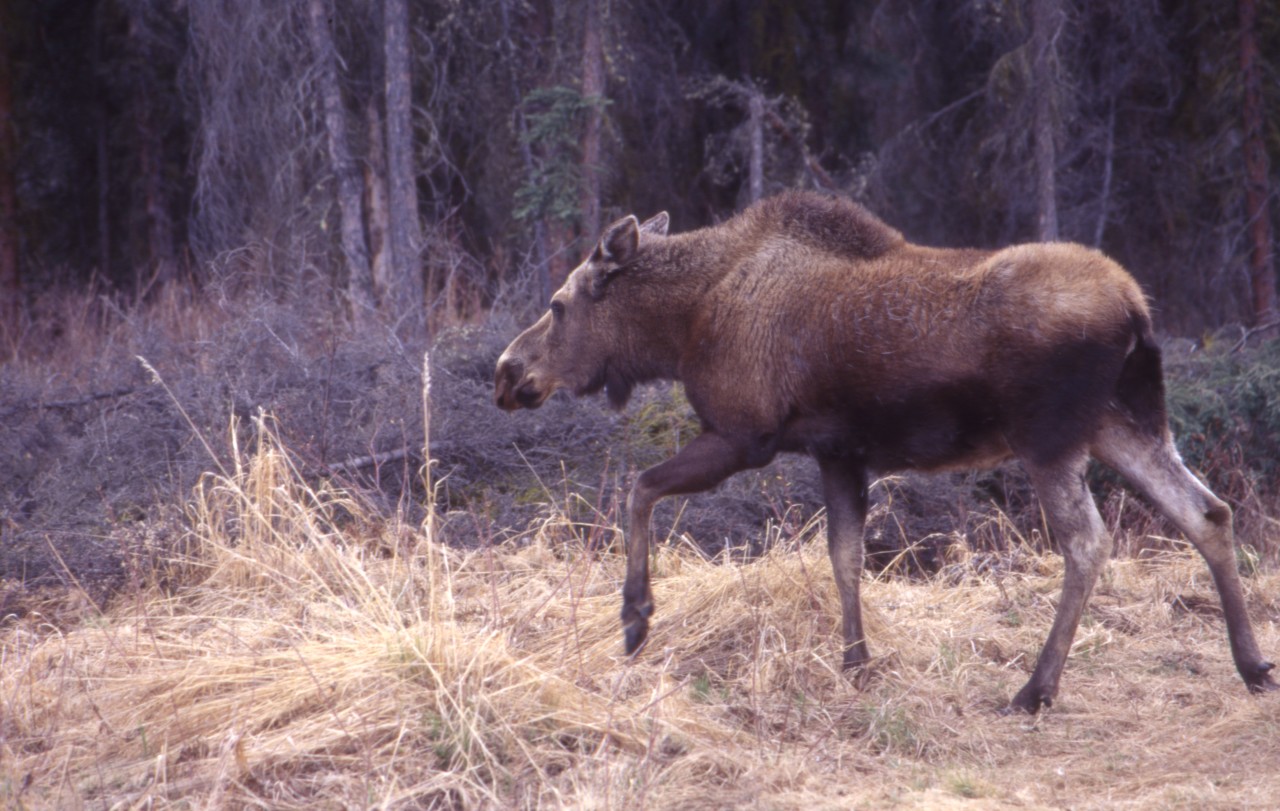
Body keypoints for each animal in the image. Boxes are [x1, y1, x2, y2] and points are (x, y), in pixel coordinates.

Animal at [494, 193, 1274, 711]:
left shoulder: (746, 436)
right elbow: (844, 558)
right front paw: (856, 662)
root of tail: (1137, 310)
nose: (507, 371)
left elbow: (640, 486)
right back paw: (1252, 663)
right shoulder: (838, 451)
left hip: (1050, 437)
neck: (683, 323)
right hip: (1123, 423)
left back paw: (1036, 686)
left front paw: (635, 617)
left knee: (1088, 542)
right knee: (1206, 511)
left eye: (560, 304)